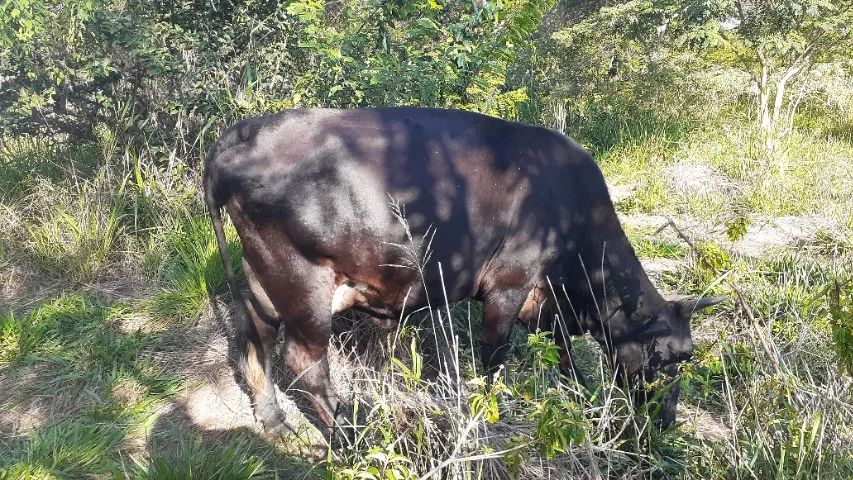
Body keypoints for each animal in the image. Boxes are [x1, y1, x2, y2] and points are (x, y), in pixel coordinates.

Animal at [203, 107, 722, 439]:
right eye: (663, 357)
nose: (667, 422)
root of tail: (246, 131)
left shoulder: (548, 305)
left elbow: (564, 353)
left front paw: (577, 391)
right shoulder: (509, 284)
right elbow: (495, 356)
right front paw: (493, 410)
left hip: (261, 280)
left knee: (255, 340)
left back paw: (273, 420)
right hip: (301, 281)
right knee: (304, 362)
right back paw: (354, 437)